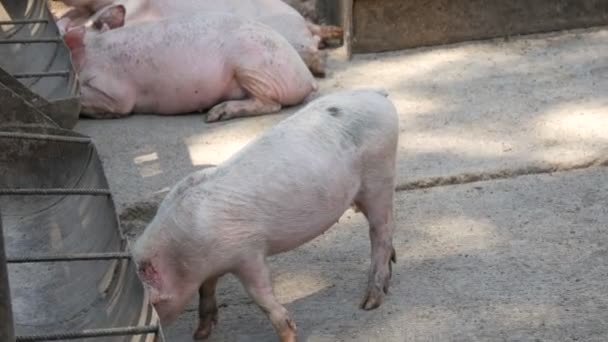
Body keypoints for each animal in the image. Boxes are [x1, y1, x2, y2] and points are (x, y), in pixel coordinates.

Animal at [63, 8, 318, 121]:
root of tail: (307, 78)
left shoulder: (115, 92)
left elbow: (112, 103)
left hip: (253, 67)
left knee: (271, 104)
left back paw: (214, 115)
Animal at [131, 89, 400, 342]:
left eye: (152, 304)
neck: (180, 256)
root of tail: (376, 93)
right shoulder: (212, 265)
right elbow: (206, 290)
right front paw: (200, 335)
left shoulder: (248, 252)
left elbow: (259, 295)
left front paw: (288, 335)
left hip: (380, 175)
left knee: (382, 230)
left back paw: (369, 303)